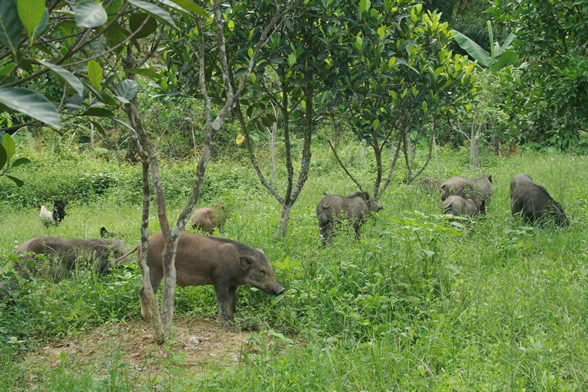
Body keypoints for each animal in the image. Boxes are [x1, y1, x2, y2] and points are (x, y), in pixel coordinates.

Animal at [138, 231, 284, 324]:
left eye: (271, 267)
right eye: (261, 270)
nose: (282, 289)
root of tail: (140, 245)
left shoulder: (233, 285)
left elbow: (232, 301)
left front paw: (235, 319)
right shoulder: (220, 280)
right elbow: (222, 301)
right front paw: (226, 323)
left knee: (141, 291)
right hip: (155, 270)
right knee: (147, 293)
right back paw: (149, 320)